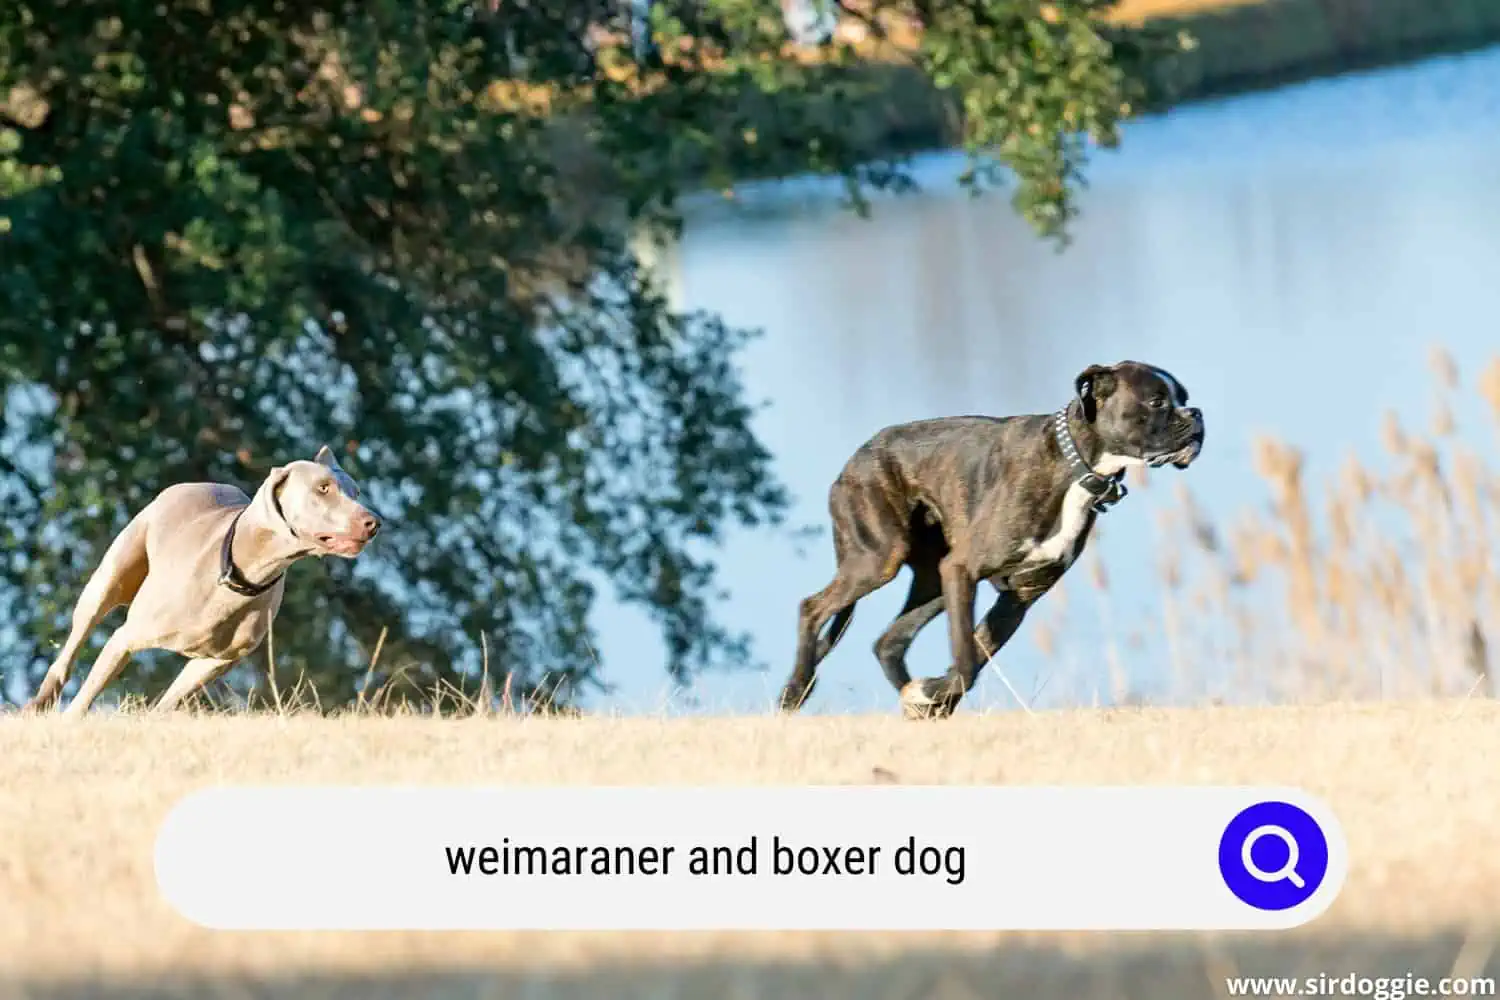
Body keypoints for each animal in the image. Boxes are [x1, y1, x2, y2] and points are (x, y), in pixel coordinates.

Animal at [24, 446, 381, 719]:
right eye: (323, 488)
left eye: (357, 492)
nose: (374, 522)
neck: (240, 576)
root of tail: (197, 483)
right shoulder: (124, 638)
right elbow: (86, 695)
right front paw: (69, 724)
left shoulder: (215, 663)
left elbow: (168, 702)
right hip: (109, 578)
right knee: (73, 645)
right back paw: (40, 702)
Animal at [780, 359, 1200, 719]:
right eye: (1157, 401)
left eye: (1184, 397)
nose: (1196, 415)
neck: (1076, 465)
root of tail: (855, 459)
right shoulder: (963, 570)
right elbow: (967, 659)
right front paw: (933, 694)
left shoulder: (1018, 596)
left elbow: (974, 659)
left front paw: (930, 695)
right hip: (879, 559)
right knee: (812, 608)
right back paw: (795, 691)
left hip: (932, 583)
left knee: (889, 642)